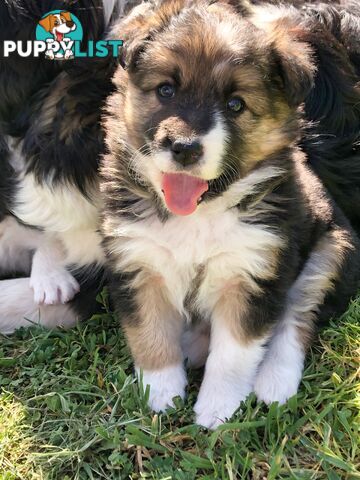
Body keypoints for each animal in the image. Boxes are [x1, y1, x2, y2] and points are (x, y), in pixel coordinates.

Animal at [100, 0, 360, 428]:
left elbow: (235, 353)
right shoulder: (138, 262)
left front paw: (217, 411)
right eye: (166, 90)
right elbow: (150, 333)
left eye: (235, 104)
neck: (198, 214)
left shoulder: (253, 273)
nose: (184, 148)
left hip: (329, 252)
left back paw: (275, 383)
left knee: (296, 318)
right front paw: (160, 394)